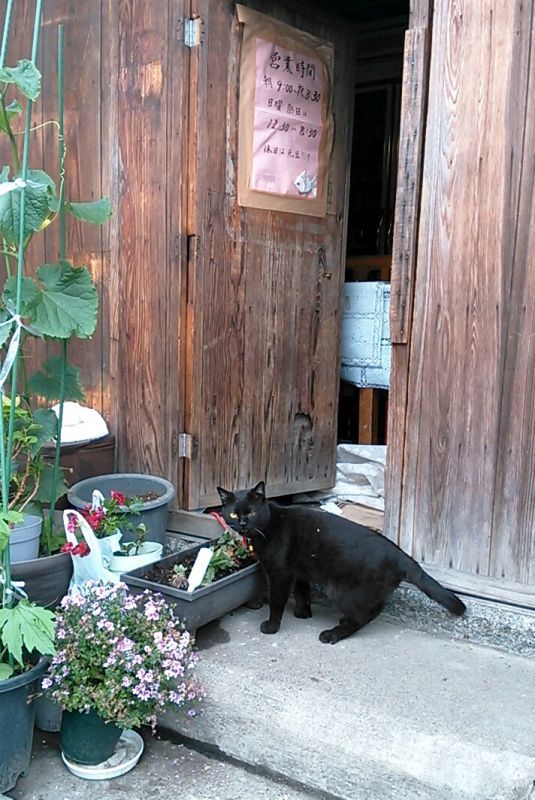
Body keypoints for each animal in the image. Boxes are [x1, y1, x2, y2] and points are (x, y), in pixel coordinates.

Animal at [220, 482, 466, 644]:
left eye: (251, 512)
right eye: (233, 514)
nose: (242, 524)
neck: (268, 526)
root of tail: (401, 555)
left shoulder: (280, 573)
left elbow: (277, 601)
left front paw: (272, 626)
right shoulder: (299, 570)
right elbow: (302, 591)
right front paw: (303, 612)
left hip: (341, 590)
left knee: (364, 615)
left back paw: (332, 634)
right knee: (374, 608)